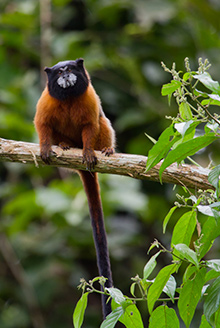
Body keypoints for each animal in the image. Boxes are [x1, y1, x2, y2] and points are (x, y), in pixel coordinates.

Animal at [33, 58, 116, 318]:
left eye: (70, 69)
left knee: (103, 122)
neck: (68, 97)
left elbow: (91, 125)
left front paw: (88, 152)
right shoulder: (46, 101)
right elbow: (42, 124)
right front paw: (46, 148)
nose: (65, 75)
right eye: (59, 72)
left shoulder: (90, 98)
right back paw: (64, 144)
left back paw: (105, 149)